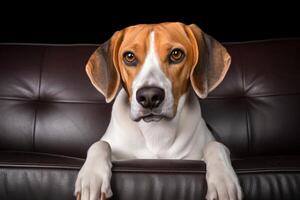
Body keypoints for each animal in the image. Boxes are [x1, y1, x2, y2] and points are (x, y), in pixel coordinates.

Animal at [75, 22, 244, 200]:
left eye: (176, 54)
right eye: (129, 57)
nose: (149, 96)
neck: (156, 131)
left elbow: (215, 146)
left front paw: (223, 181)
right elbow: (100, 144)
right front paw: (91, 179)